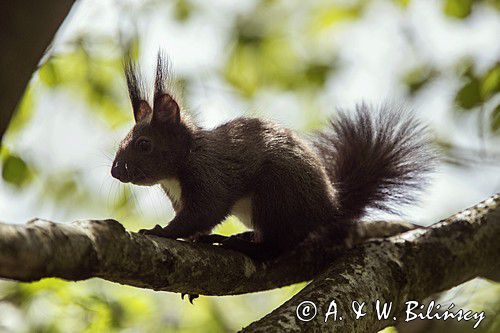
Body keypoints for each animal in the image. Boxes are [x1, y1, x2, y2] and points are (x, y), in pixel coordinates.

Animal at [110, 52, 434, 262]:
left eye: (143, 144)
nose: (115, 172)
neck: (185, 158)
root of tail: (331, 207)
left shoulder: (210, 174)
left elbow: (204, 212)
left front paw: (162, 231)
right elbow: (199, 221)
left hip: (276, 194)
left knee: (277, 246)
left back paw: (241, 246)